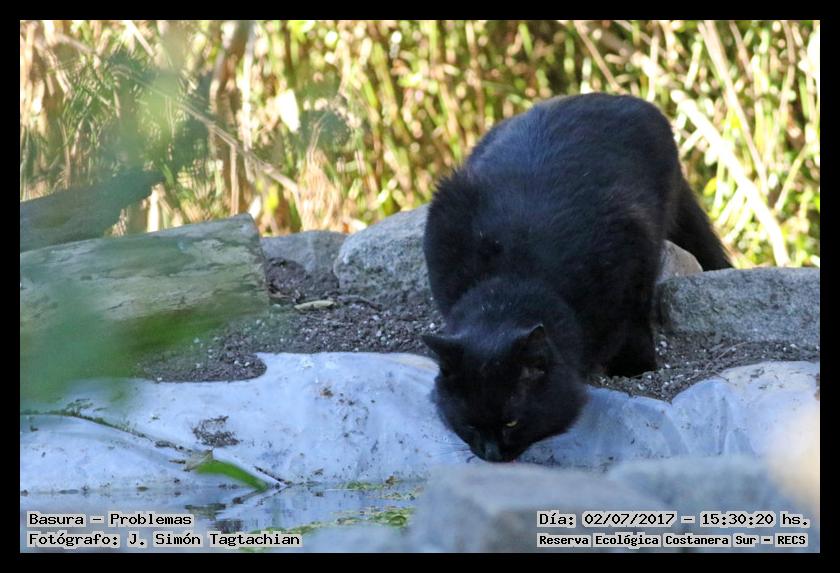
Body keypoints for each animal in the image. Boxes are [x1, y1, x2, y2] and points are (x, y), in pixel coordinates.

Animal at [422, 93, 730, 462]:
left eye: (511, 422)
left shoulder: (633, 255)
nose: (491, 454)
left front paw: (636, 368)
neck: (515, 279)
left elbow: (634, 324)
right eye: (469, 424)